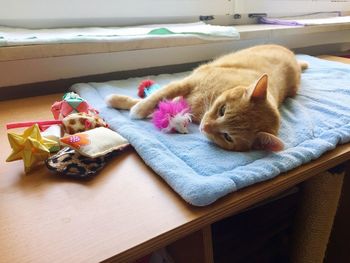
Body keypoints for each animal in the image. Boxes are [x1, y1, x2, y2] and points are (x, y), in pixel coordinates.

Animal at [106, 44, 306, 153]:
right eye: (222, 110)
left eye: (227, 137)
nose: (205, 126)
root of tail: (294, 58)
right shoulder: (187, 82)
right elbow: (159, 96)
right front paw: (133, 106)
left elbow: (163, 102)